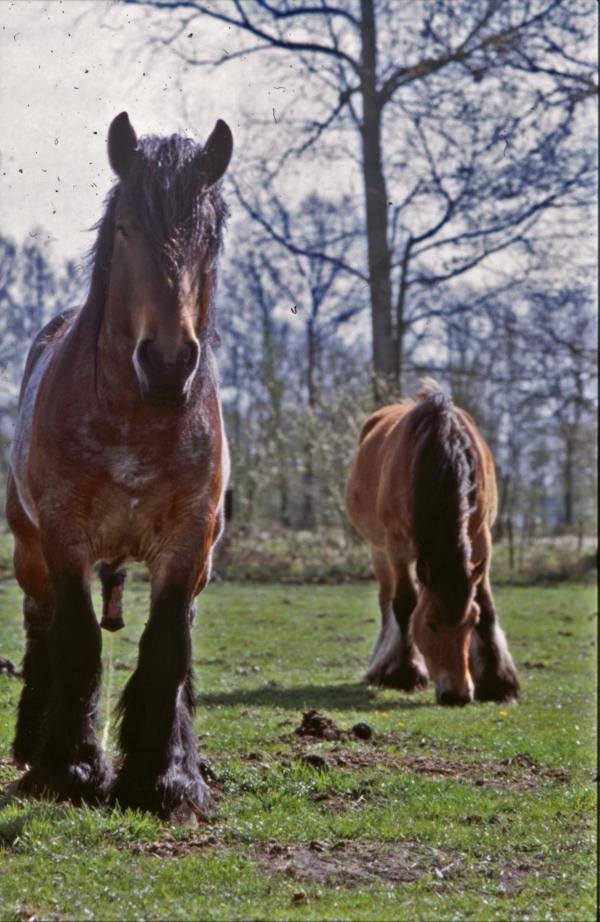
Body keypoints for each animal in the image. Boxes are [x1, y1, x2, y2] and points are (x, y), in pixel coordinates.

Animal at [5, 112, 233, 821]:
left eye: (208, 236)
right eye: (128, 227)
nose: (167, 362)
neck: (137, 416)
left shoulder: (189, 542)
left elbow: (168, 647)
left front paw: (164, 780)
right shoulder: (63, 534)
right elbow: (77, 641)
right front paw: (72, 770)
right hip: (28, 549)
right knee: (41, 628)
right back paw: (32, 741)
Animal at [345, 381, 519, 706]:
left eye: (471, 620)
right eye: (429, 623)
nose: (458, 695)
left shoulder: (481, 537)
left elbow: (487, 604)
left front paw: (498, 683)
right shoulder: (396, 545)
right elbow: (404, 604)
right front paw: (406, 673)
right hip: (378, 550)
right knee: (386, 601)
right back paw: (382, 666)